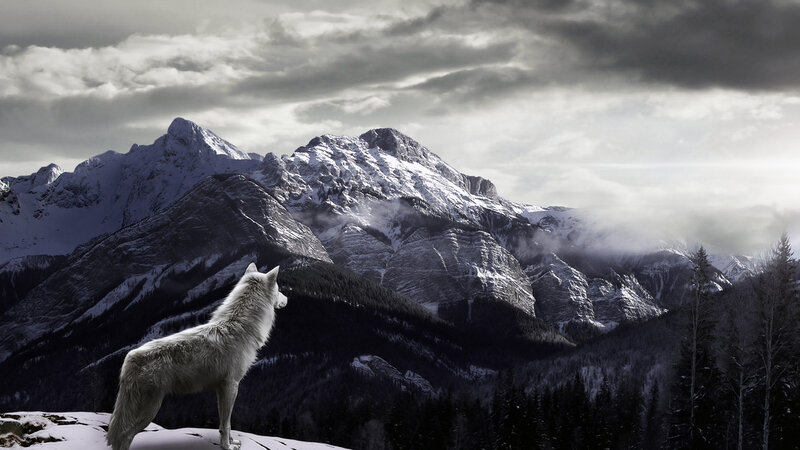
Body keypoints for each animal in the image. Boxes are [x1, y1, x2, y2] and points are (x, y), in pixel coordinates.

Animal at [106, 263, 288, 450]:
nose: (287, 298)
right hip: (149, 411)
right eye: (279, 290)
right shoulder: (231, 385)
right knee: (124, 436)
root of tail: (130, 357)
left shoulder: (221, 389)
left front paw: (230, 441)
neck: (240, 326)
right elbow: (227, 423)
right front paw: (227, 446)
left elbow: (225, 423)